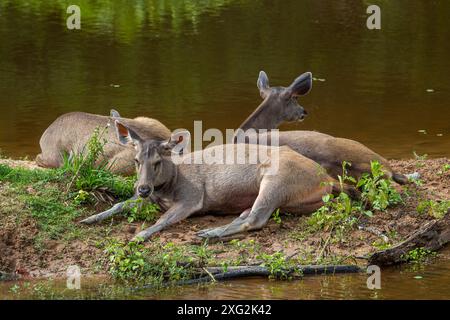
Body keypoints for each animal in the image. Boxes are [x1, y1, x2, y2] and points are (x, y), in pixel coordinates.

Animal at [79, 120, 356, 240]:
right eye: (136, 160)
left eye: (158, 161)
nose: (144, 188)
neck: (169, 185)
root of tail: (329, 180)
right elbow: (118, 204)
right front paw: (89, 218)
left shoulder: (191, 198)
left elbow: (162, 220)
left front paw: (138, 236)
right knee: (249, 214)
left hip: (278, 179)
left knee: (256, 219)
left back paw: (207, 233)